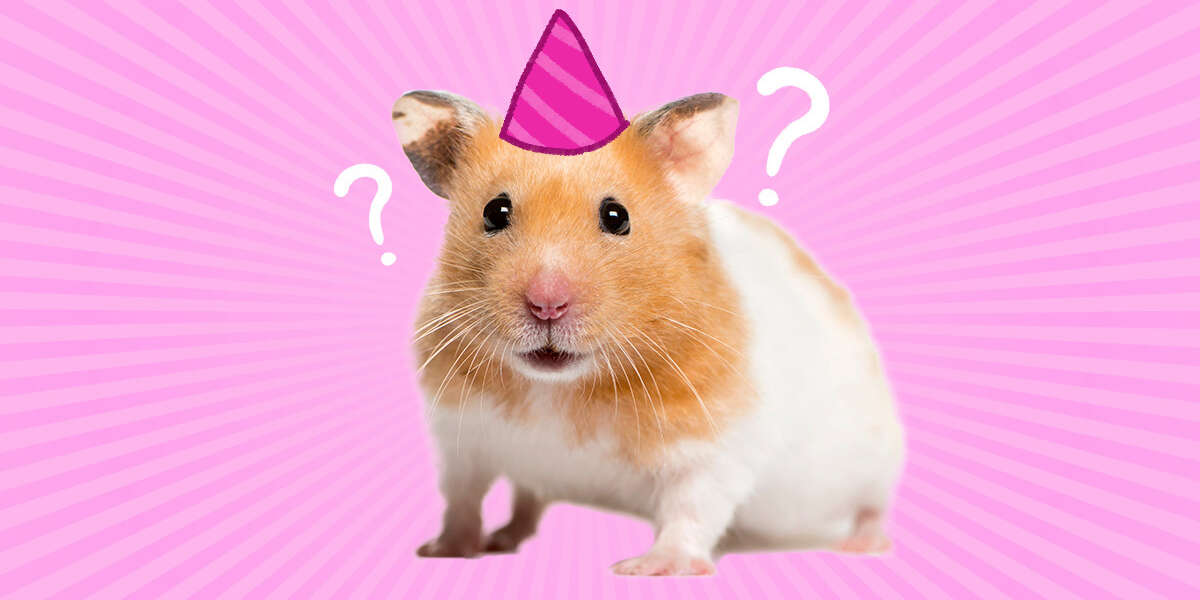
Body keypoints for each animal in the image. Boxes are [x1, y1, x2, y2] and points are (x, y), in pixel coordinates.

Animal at [391, 90, 905, 576]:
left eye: (616, 217)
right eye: (495, 212)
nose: (546, 304)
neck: (558, 389)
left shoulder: (714, 446)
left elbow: (692, 509)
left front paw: (648, 568)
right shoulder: (459, 438)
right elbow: (462, 499)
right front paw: (444, 551)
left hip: (875, 456)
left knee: (871, 505)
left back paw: (864, 544)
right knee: (526, 500)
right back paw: (504, 538)